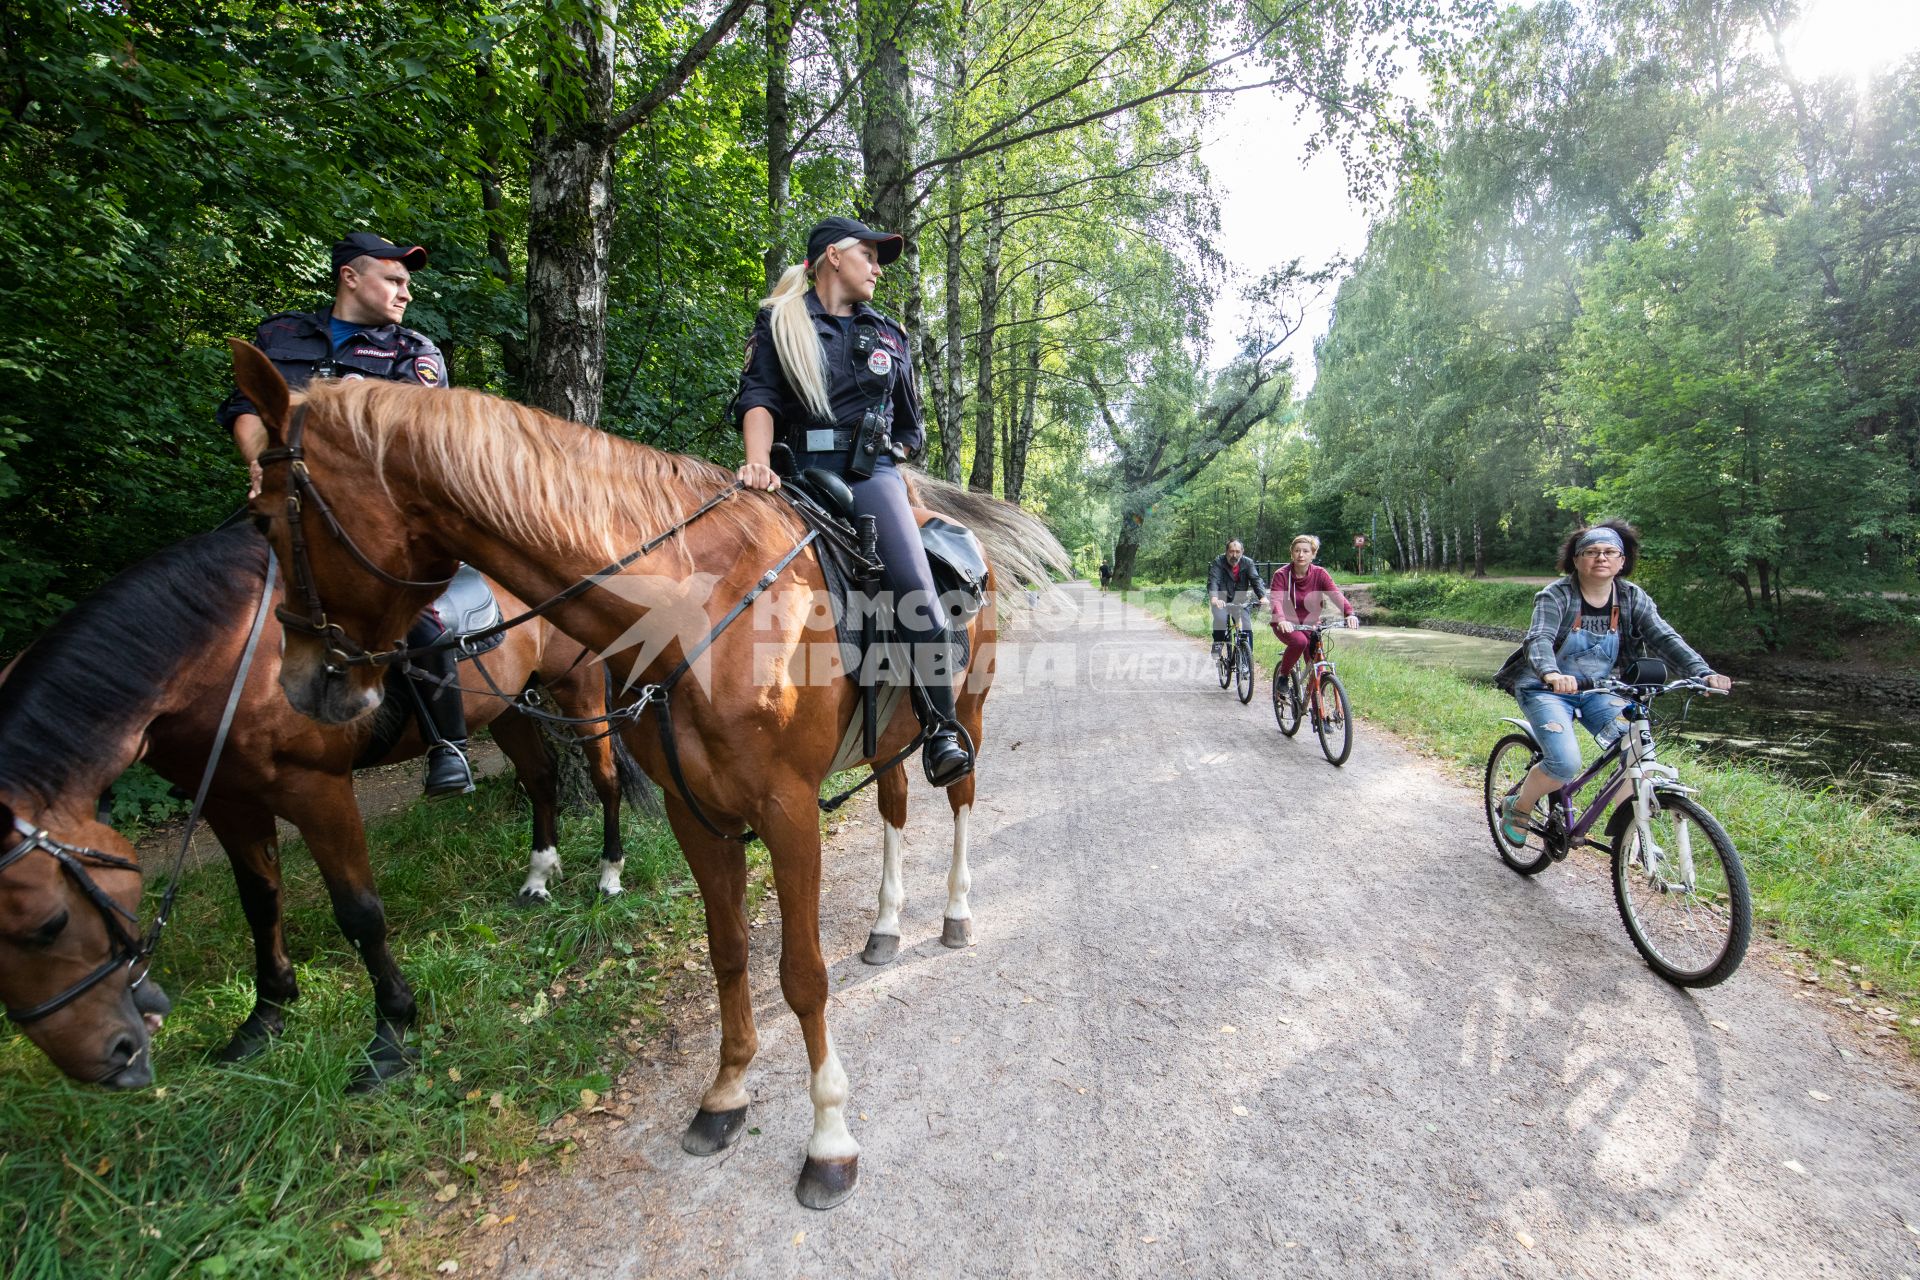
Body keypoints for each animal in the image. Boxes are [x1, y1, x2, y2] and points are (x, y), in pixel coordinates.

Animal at [0, 521, 645, 1090]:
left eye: (50, 925)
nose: (110, 1058)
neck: (230, 660)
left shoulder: (318, 790)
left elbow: (359, 912)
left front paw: (391, 1036)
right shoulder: (229, 800)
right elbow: (259, 903)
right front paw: (266, 1017)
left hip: (579, 691)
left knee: (605, 780)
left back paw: (608, 875)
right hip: (508, 703)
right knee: (541, 780)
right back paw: (538, 876)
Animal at [234, 345, 1075, 1205]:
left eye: (264, 518)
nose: (300, 686)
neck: (698, 616)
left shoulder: (788, 811)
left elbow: (802, 975)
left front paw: (830, 1139)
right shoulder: (695, 812)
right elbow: (729, 951)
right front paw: (726, 1096)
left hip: (967, 714)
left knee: (960, 796)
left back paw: (956, 913)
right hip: (884, 740)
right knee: (896, 809)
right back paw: (884, 925)